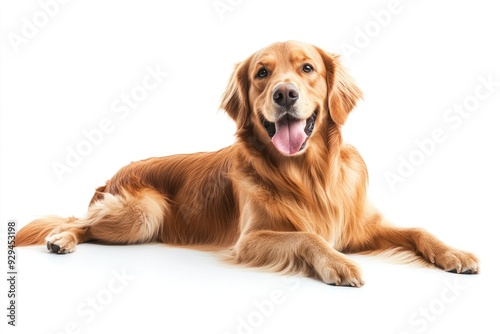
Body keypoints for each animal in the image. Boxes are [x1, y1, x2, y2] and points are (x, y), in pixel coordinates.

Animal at [15, 40, 478, 286]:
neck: (309, 174)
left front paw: (454, 253)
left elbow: (418, 230)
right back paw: (61, 239)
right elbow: (309, 237)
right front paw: (338, 263)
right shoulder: (250, 239)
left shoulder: (359, 226)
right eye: (261, 73)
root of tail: (114, 173)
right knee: (79, 222)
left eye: (307, 68)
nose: (284, 94)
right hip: (144, 213)